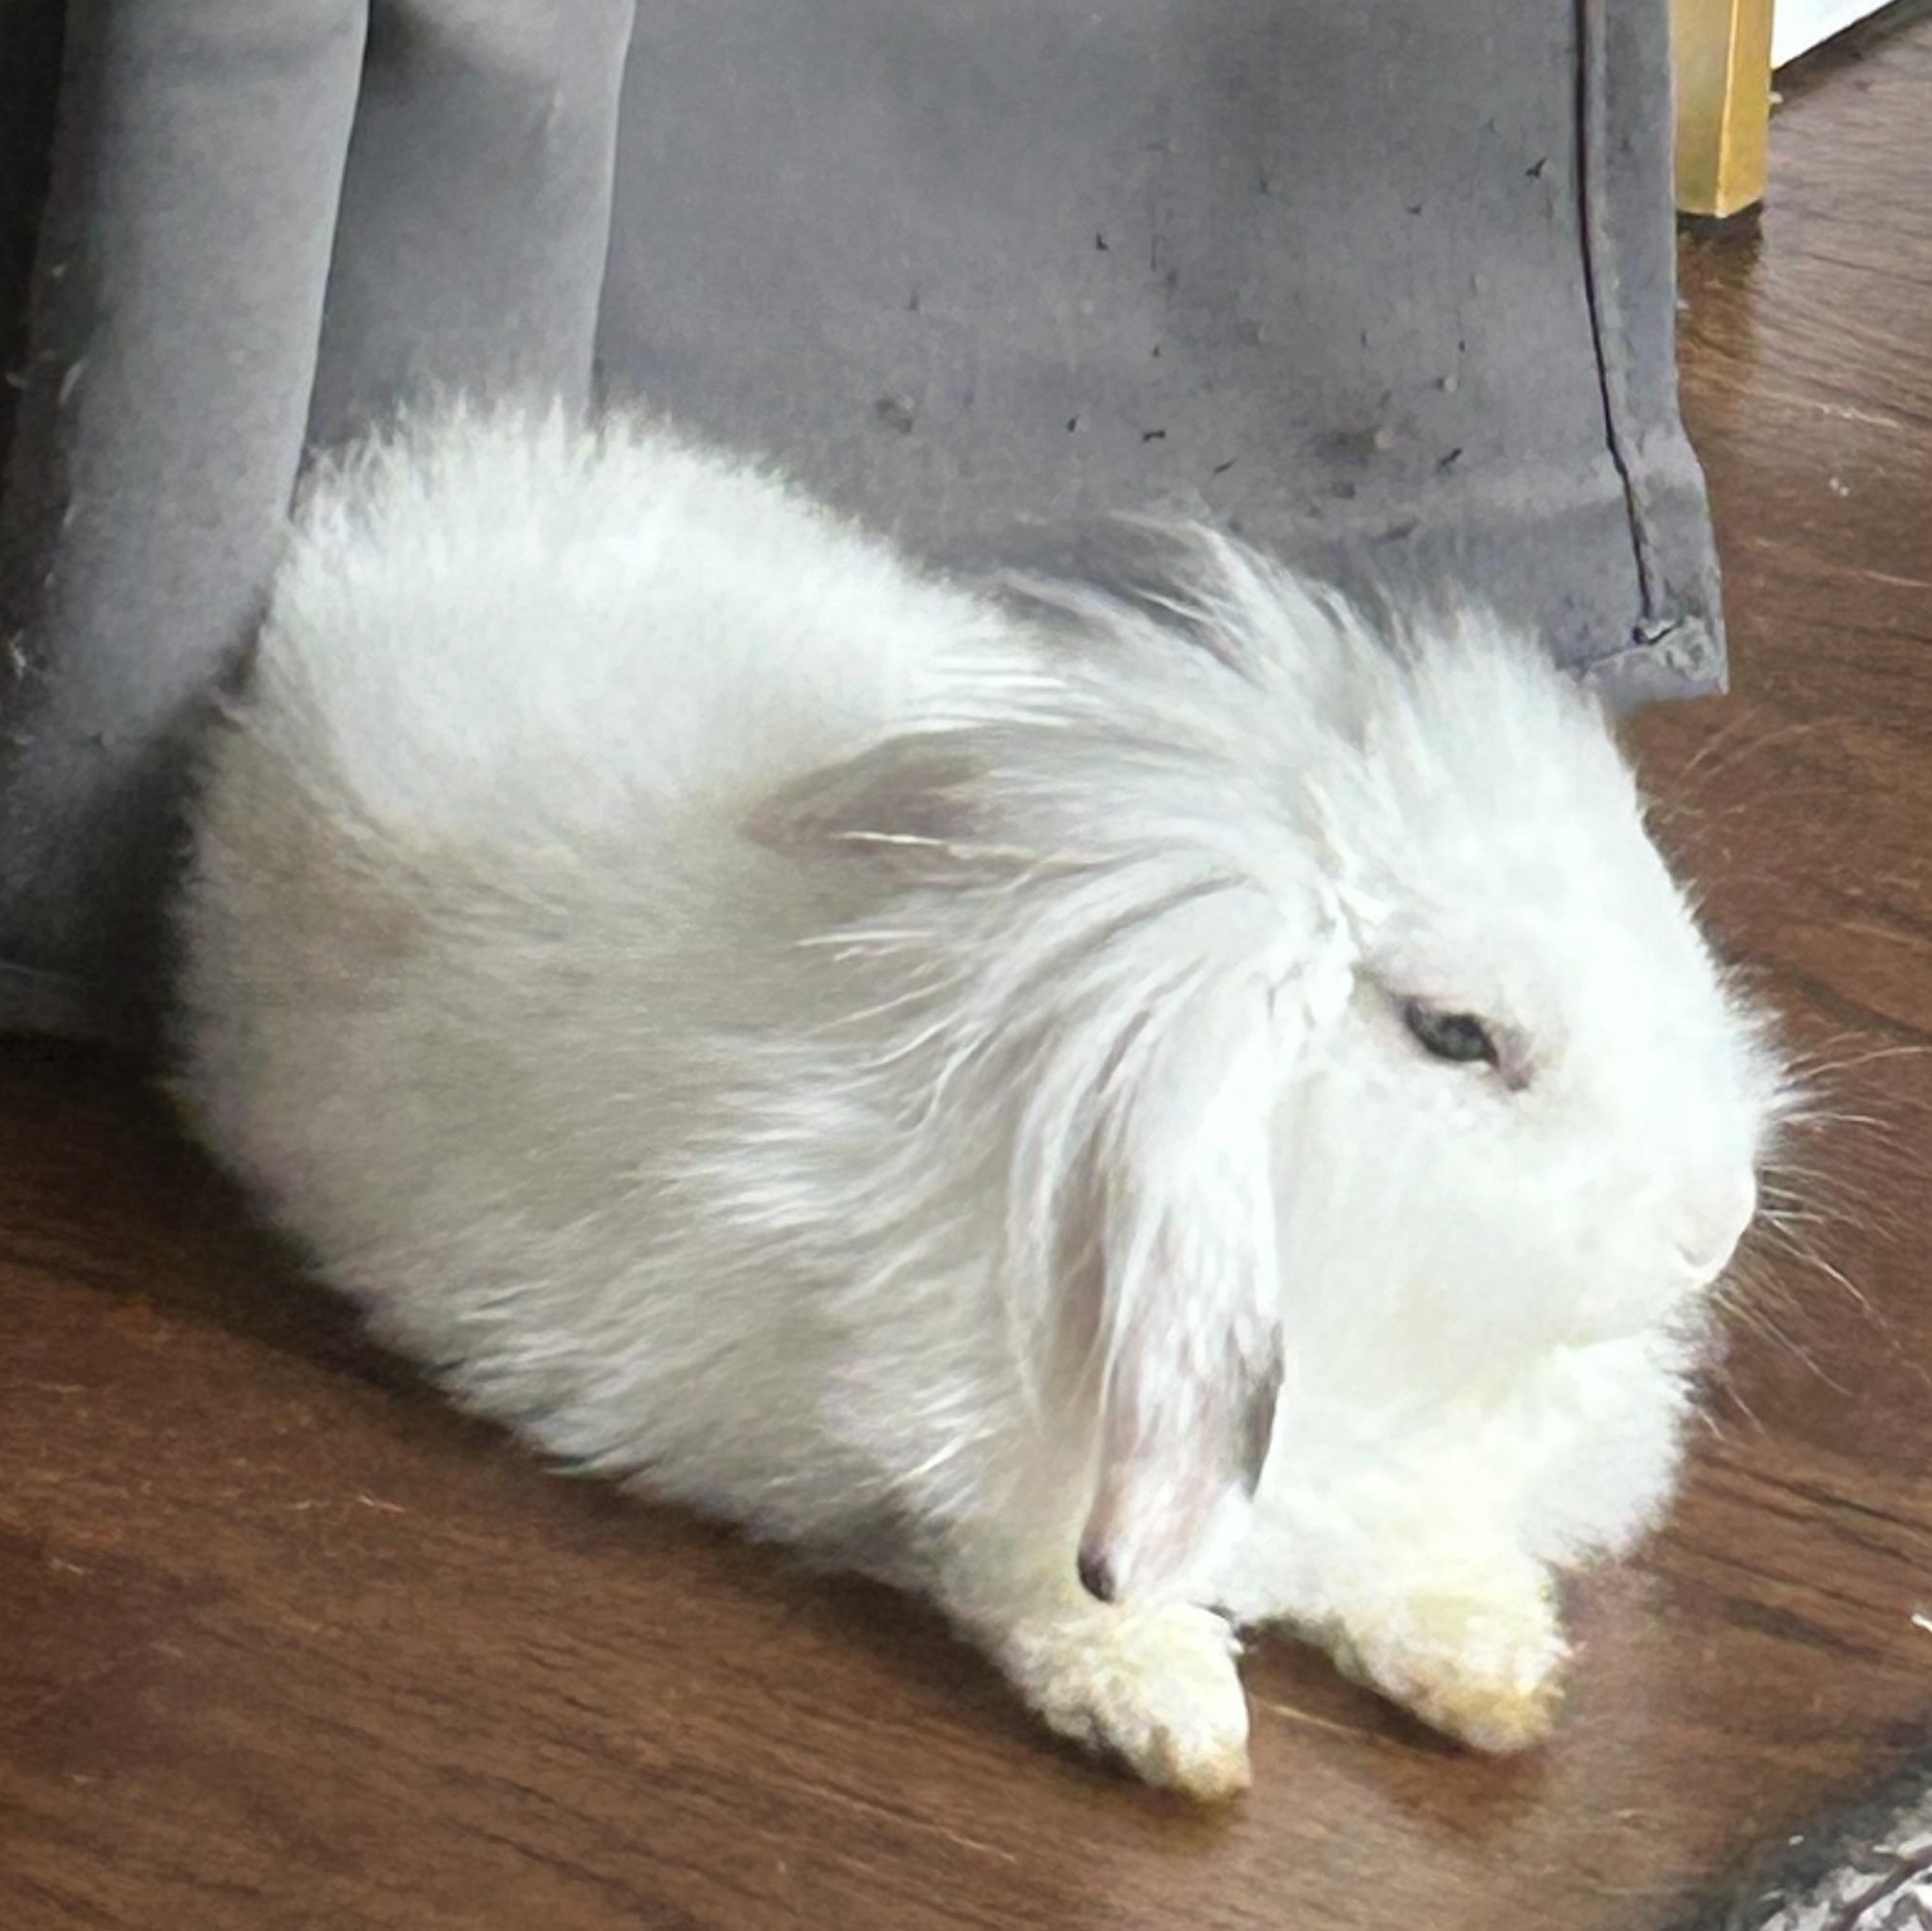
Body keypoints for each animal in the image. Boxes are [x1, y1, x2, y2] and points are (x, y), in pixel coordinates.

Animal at [171, 405, 1786, 1800]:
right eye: (1456, 1035)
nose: (1716, 1223)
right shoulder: (989, 1481)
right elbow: (1057, 1596)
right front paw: (1176, 1723)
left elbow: (1423, 1558)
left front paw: (1495, 1675)